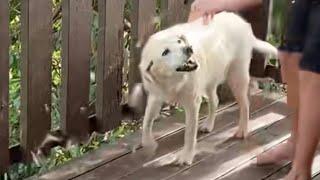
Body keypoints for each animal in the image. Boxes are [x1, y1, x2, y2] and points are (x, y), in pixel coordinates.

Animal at [125, 11, 278, 165]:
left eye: (179, 41)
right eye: (165, 52)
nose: (188, 48)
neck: (172, 81)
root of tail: (242, 22)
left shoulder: (192, 103)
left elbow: (189, 133)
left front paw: (187, 156)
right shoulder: (155, 97)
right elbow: (146, 122)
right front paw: (149, 144)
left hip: (236, 77)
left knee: (245, 105)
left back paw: (242, 130)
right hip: (210, 80)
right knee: (215, 101)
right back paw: (209, 124)